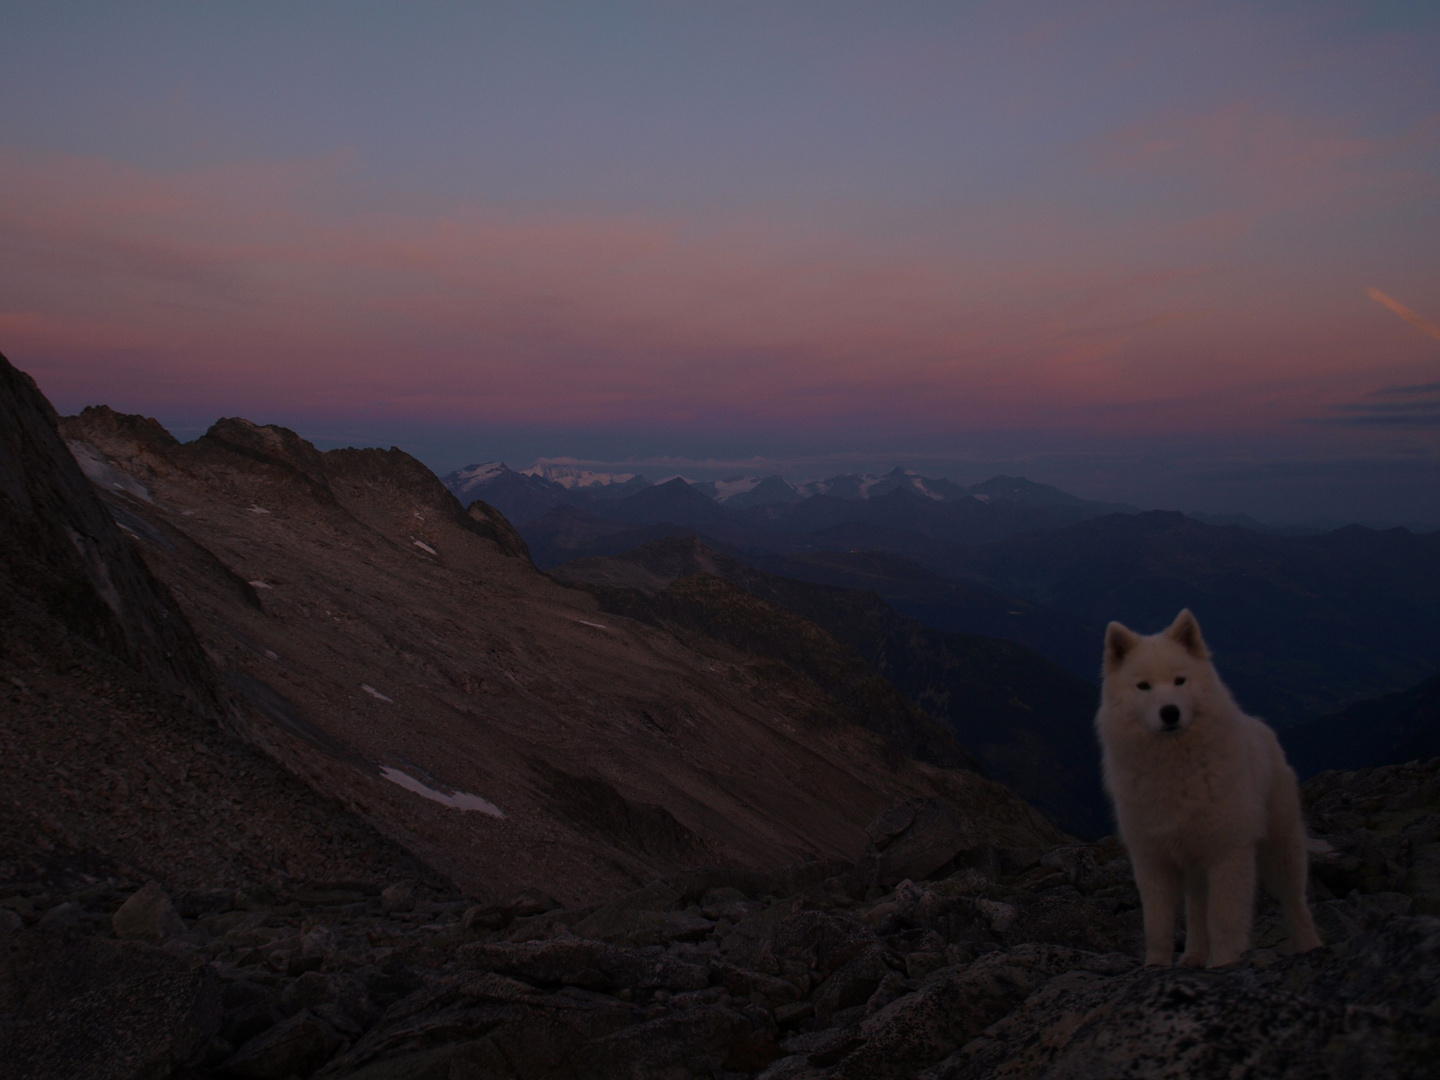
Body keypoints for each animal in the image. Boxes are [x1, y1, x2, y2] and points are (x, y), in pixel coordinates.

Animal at [1094, 610, 1319, 973]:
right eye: (1143, 686)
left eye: (1180, 680)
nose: (1170, 712)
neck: (1174, 771)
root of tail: (1261, 726)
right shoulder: (1153, 860)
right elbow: (1158, 924)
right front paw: (1156, 966)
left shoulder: (1227, 852)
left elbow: (1224, 918)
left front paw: (1224, 962)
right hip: (1195, 867)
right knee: (1198, 913)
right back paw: (1194, 956)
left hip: (1281, 849)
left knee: (1295, 901)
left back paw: (1310, 945)